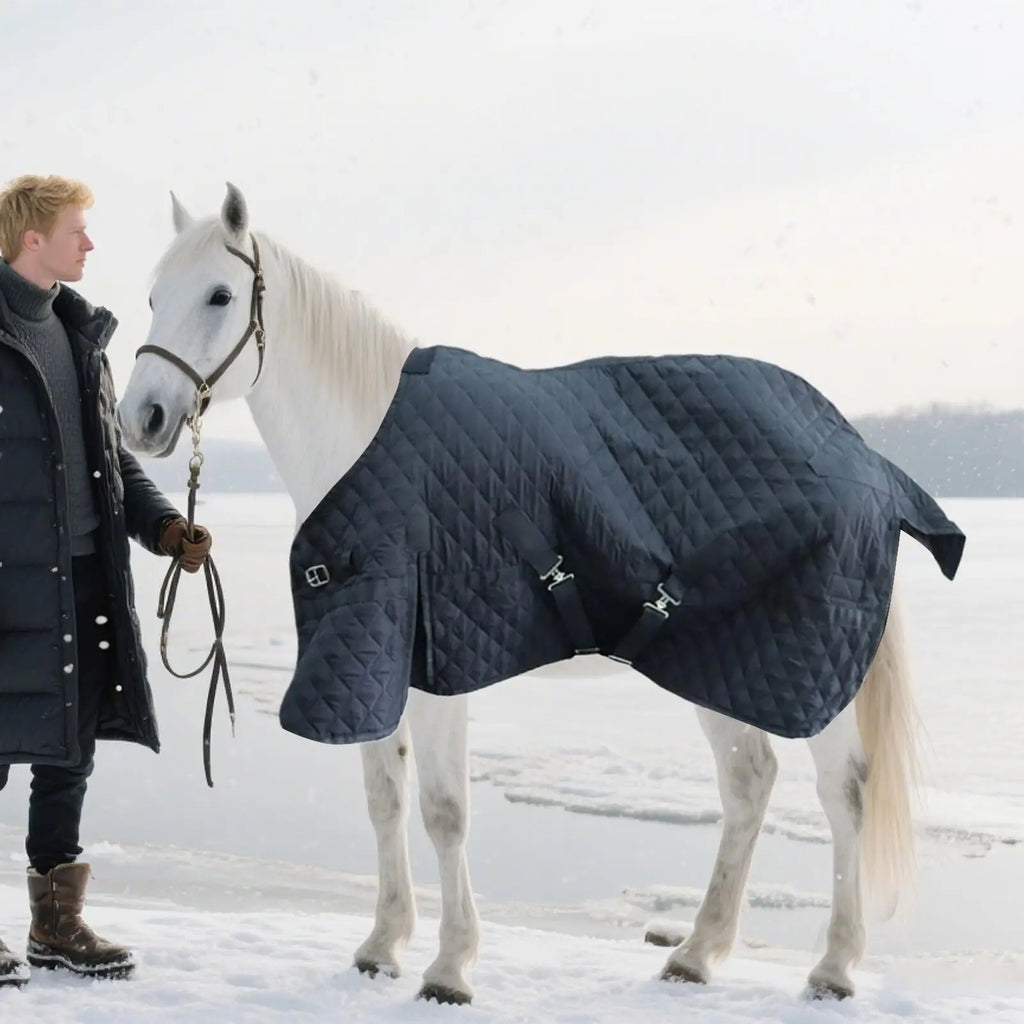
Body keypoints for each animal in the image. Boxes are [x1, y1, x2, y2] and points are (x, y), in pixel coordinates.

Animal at [116, 183, 921, 1005]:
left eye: (219, 294)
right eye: (152, 296)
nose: (140, 417)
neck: (371, 448)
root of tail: (860, 452)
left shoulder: (437, 667)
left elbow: (443, 811)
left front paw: (449, 968)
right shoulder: (370, 656)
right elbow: (384, 798)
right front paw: (381, 946)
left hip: (806, 664)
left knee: (844, 790)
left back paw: (833, 966)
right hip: (724, 660)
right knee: (750, 781)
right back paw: (697, 954)